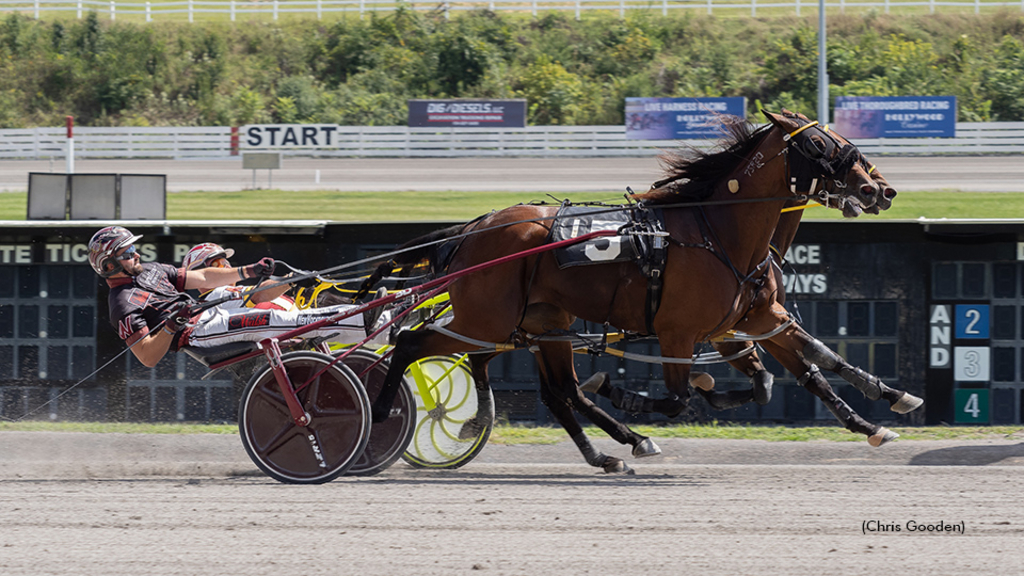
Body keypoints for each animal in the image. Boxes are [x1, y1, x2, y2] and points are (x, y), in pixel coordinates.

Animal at [372, 108, 884, 471]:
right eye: (818, 143)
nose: (876, 189)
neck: (716, 232)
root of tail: (473, 228)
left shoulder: (751, 320)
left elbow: (795, 371)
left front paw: (873, 415)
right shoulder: (679, 332)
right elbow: (680, 398)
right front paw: (627, 395)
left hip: (541, 323)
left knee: (558, 391)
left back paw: (610, 450)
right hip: (487, 319)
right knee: (411, 342)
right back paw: (378, 415)